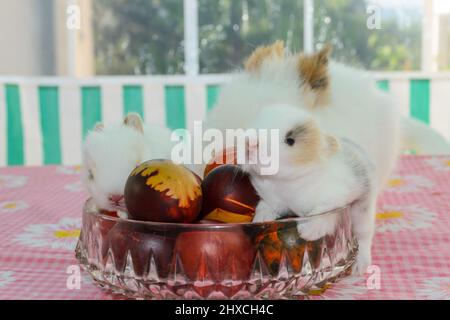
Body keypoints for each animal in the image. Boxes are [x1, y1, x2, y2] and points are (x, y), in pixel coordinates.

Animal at [243, 105, 376, 276]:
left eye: (290, 140)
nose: (250, 144)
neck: (287, 183)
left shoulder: (337, 197)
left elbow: (324, 213)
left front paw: (307, 231)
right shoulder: (274, 200)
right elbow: (265, 206)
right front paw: (260, 220)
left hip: (362, 212)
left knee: (364, 237)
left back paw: (360, 266)